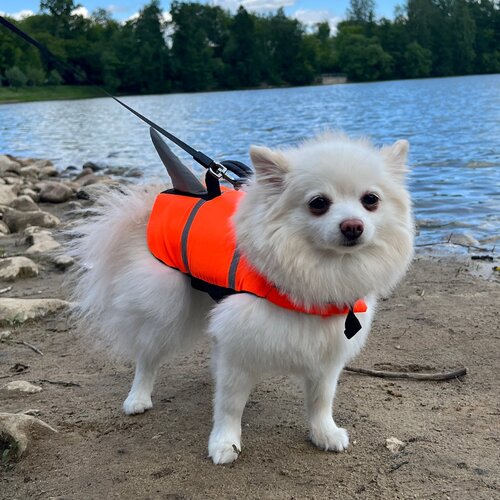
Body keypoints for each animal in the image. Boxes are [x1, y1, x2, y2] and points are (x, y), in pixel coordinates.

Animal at [71, 133, 414, 464]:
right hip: (166, 308)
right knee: (147, 355)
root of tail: (157, 201)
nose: (353, 226)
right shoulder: (239, 346)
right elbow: (230, 404)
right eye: (318, 203)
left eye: (370, 200)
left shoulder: (327, 349)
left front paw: (324, 434)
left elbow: (320, 399)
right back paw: (138, 398)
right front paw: (225, 444)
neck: (319, 268)